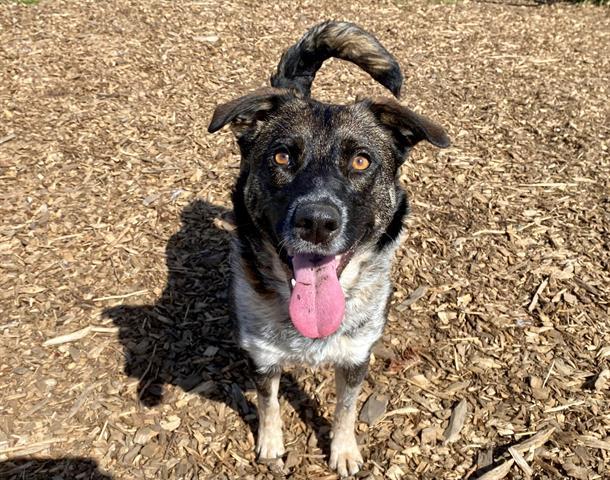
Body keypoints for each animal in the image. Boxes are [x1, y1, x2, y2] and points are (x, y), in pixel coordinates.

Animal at [207, 19, 448, 476]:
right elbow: (268, 403)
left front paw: (344, 450)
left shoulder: (355, 358)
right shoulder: (262, 359)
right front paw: (271, 444)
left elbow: (346, 409)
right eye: (282, 157)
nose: (317, 222)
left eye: (361, 161)